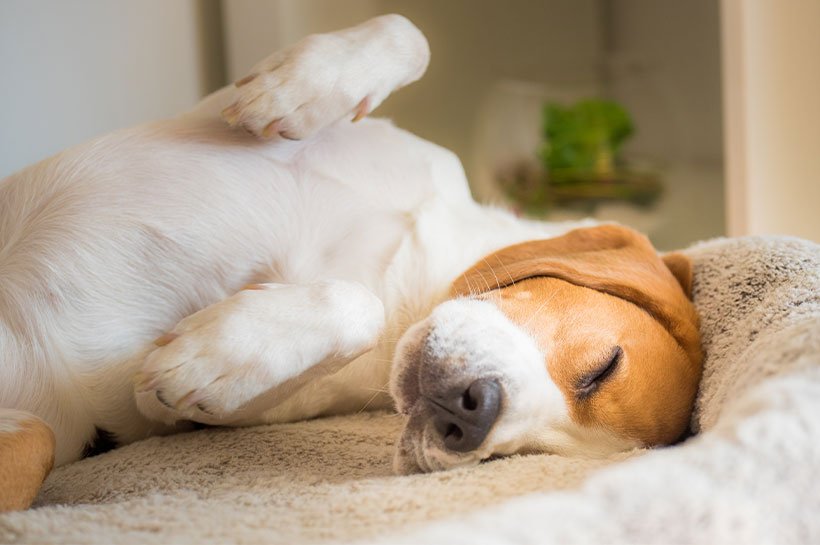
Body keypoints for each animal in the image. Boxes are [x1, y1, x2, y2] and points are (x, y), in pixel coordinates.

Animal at [1, 14, 700, 510]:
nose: (472, 415)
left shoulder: (184, 416)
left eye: (521, 457)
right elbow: (409, 34)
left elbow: (353, 305)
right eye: (601, 368)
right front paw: (293, 88)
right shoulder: (202, 112)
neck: (415, 271)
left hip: (37, 436)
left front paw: (210, 356)